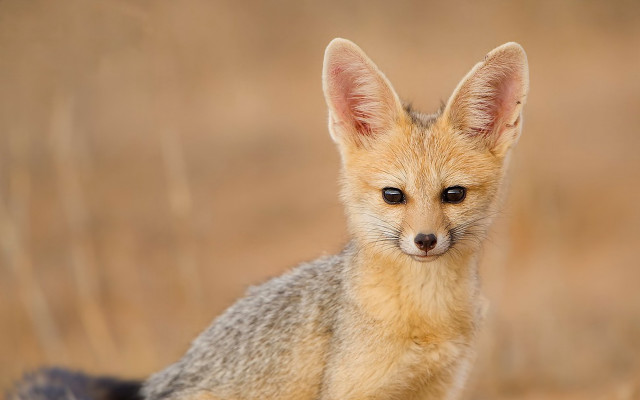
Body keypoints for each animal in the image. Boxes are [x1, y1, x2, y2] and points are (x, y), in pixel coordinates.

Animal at [8, 38, 528, 400]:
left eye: (453, 194)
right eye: (393, 195)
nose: (424, 240)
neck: (424, 314)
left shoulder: (439, 387)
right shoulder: (353, 390)